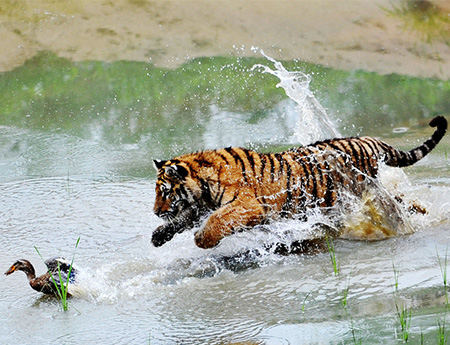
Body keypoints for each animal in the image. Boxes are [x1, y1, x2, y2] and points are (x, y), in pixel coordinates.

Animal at [151, 115, 446, 247]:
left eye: (165, 192)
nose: (155, 212)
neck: (204, 186)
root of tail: (364, 139)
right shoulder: (202, 206)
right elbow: (183, 218)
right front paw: (158, 236)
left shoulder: (247, 205)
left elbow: (218, 220)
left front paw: (203, 239)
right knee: (402, 202)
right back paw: (423, 215)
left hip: (362, 193)